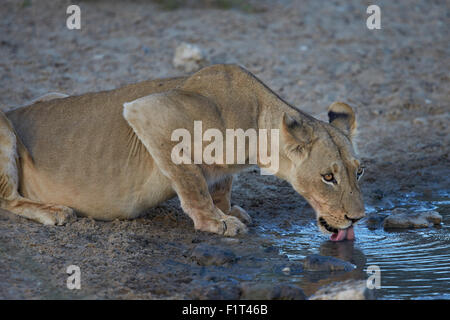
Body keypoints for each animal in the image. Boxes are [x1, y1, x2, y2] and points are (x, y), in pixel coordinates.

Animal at [0, 64, 366, 240]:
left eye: (358, 172)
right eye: (328, 177)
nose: (358, 218)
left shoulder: (223, 168)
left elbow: (220, 184)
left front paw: (228, 210)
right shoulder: (148, 113)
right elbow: (191, 181)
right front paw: (216, 222)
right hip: (5, 131)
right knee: (8, 199)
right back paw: (54, 211)